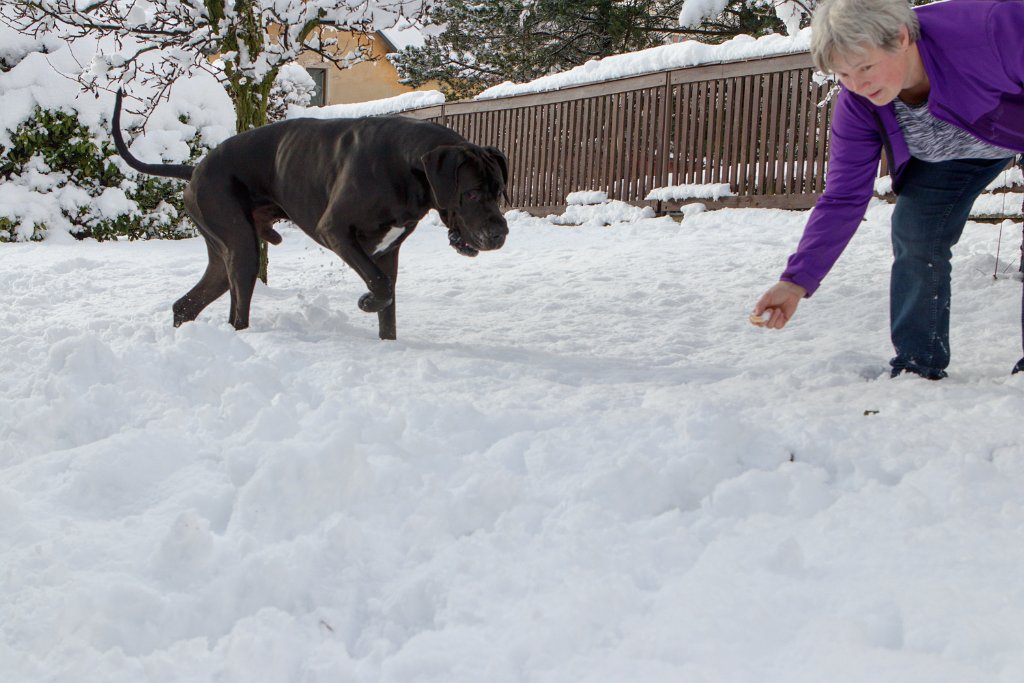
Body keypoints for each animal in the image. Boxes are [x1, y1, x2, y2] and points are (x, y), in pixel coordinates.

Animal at [112, 89, 507, 339]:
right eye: (471, 193)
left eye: (499, 191)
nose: (500, 233)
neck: (405, 167)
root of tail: (195, 169)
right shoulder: (336, 231)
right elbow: (380, 286)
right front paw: (365, 302)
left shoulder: (387, 252)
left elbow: (389, 308)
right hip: (242, 248)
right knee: (235, 312)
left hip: (224, 255)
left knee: (185, 305)